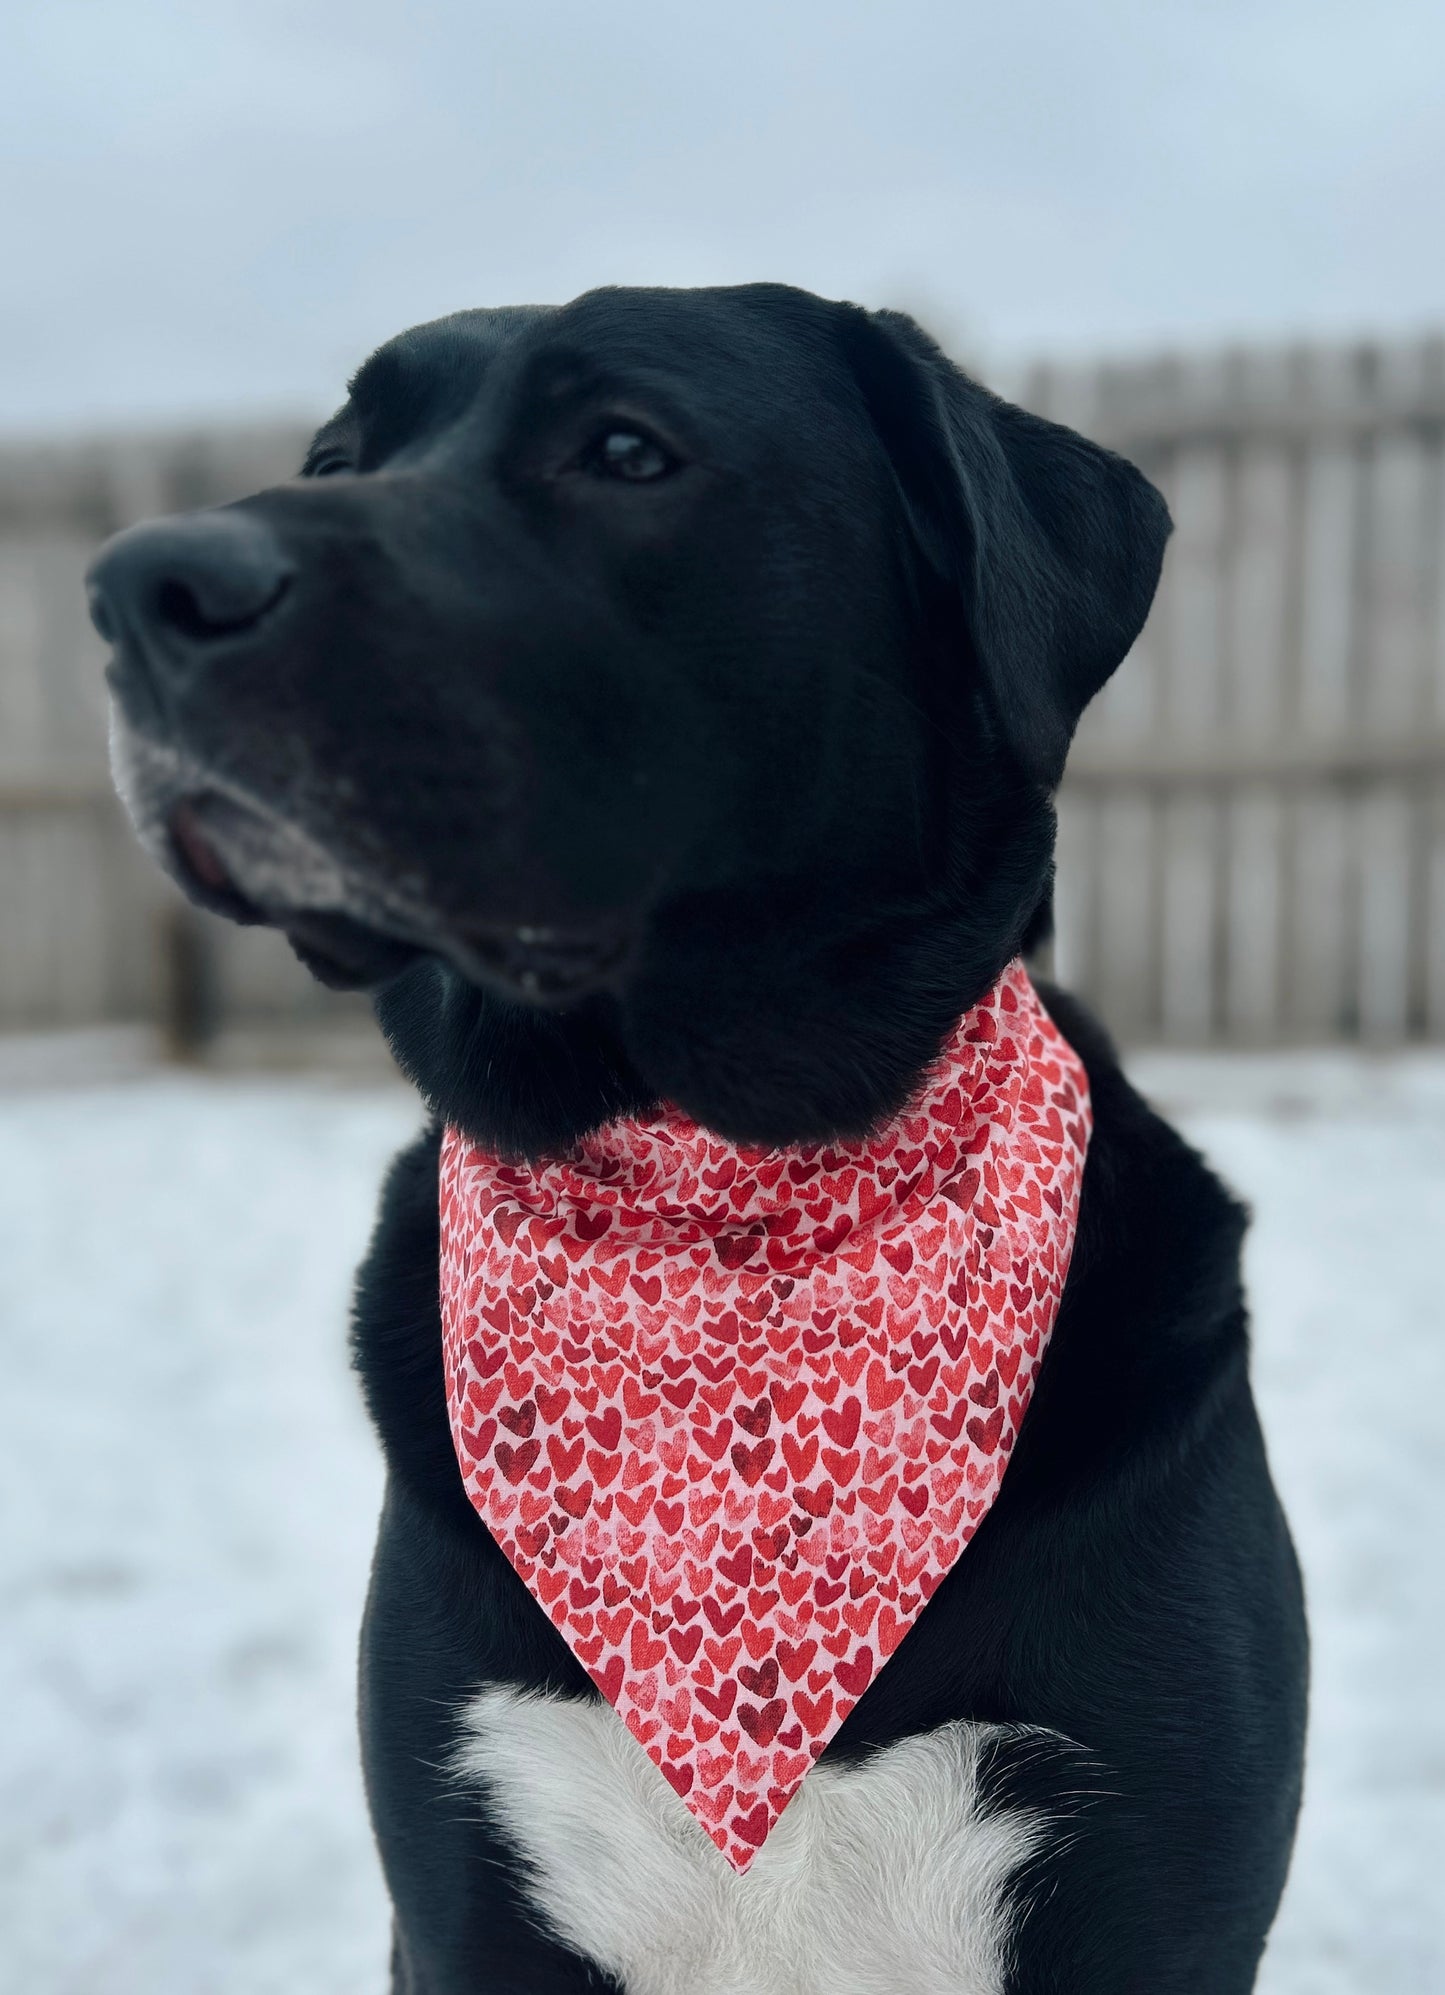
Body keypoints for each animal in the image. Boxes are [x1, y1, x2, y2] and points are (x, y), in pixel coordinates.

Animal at [90, 285, 1309, 1995]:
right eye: (337, 457)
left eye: (624, 449)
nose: (142, 586)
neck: (716, 1183)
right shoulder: (463, 1887)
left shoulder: (1154, 1882)